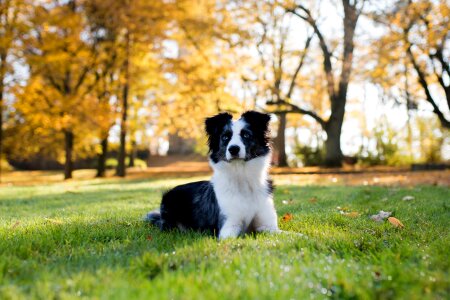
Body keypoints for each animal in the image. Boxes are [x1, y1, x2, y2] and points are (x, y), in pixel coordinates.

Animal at [146, 110, 280, 239]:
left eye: (246, 135)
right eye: (225, 137)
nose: (233, 149)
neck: (241, 176)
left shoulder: (268, 226)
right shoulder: (228, 227)